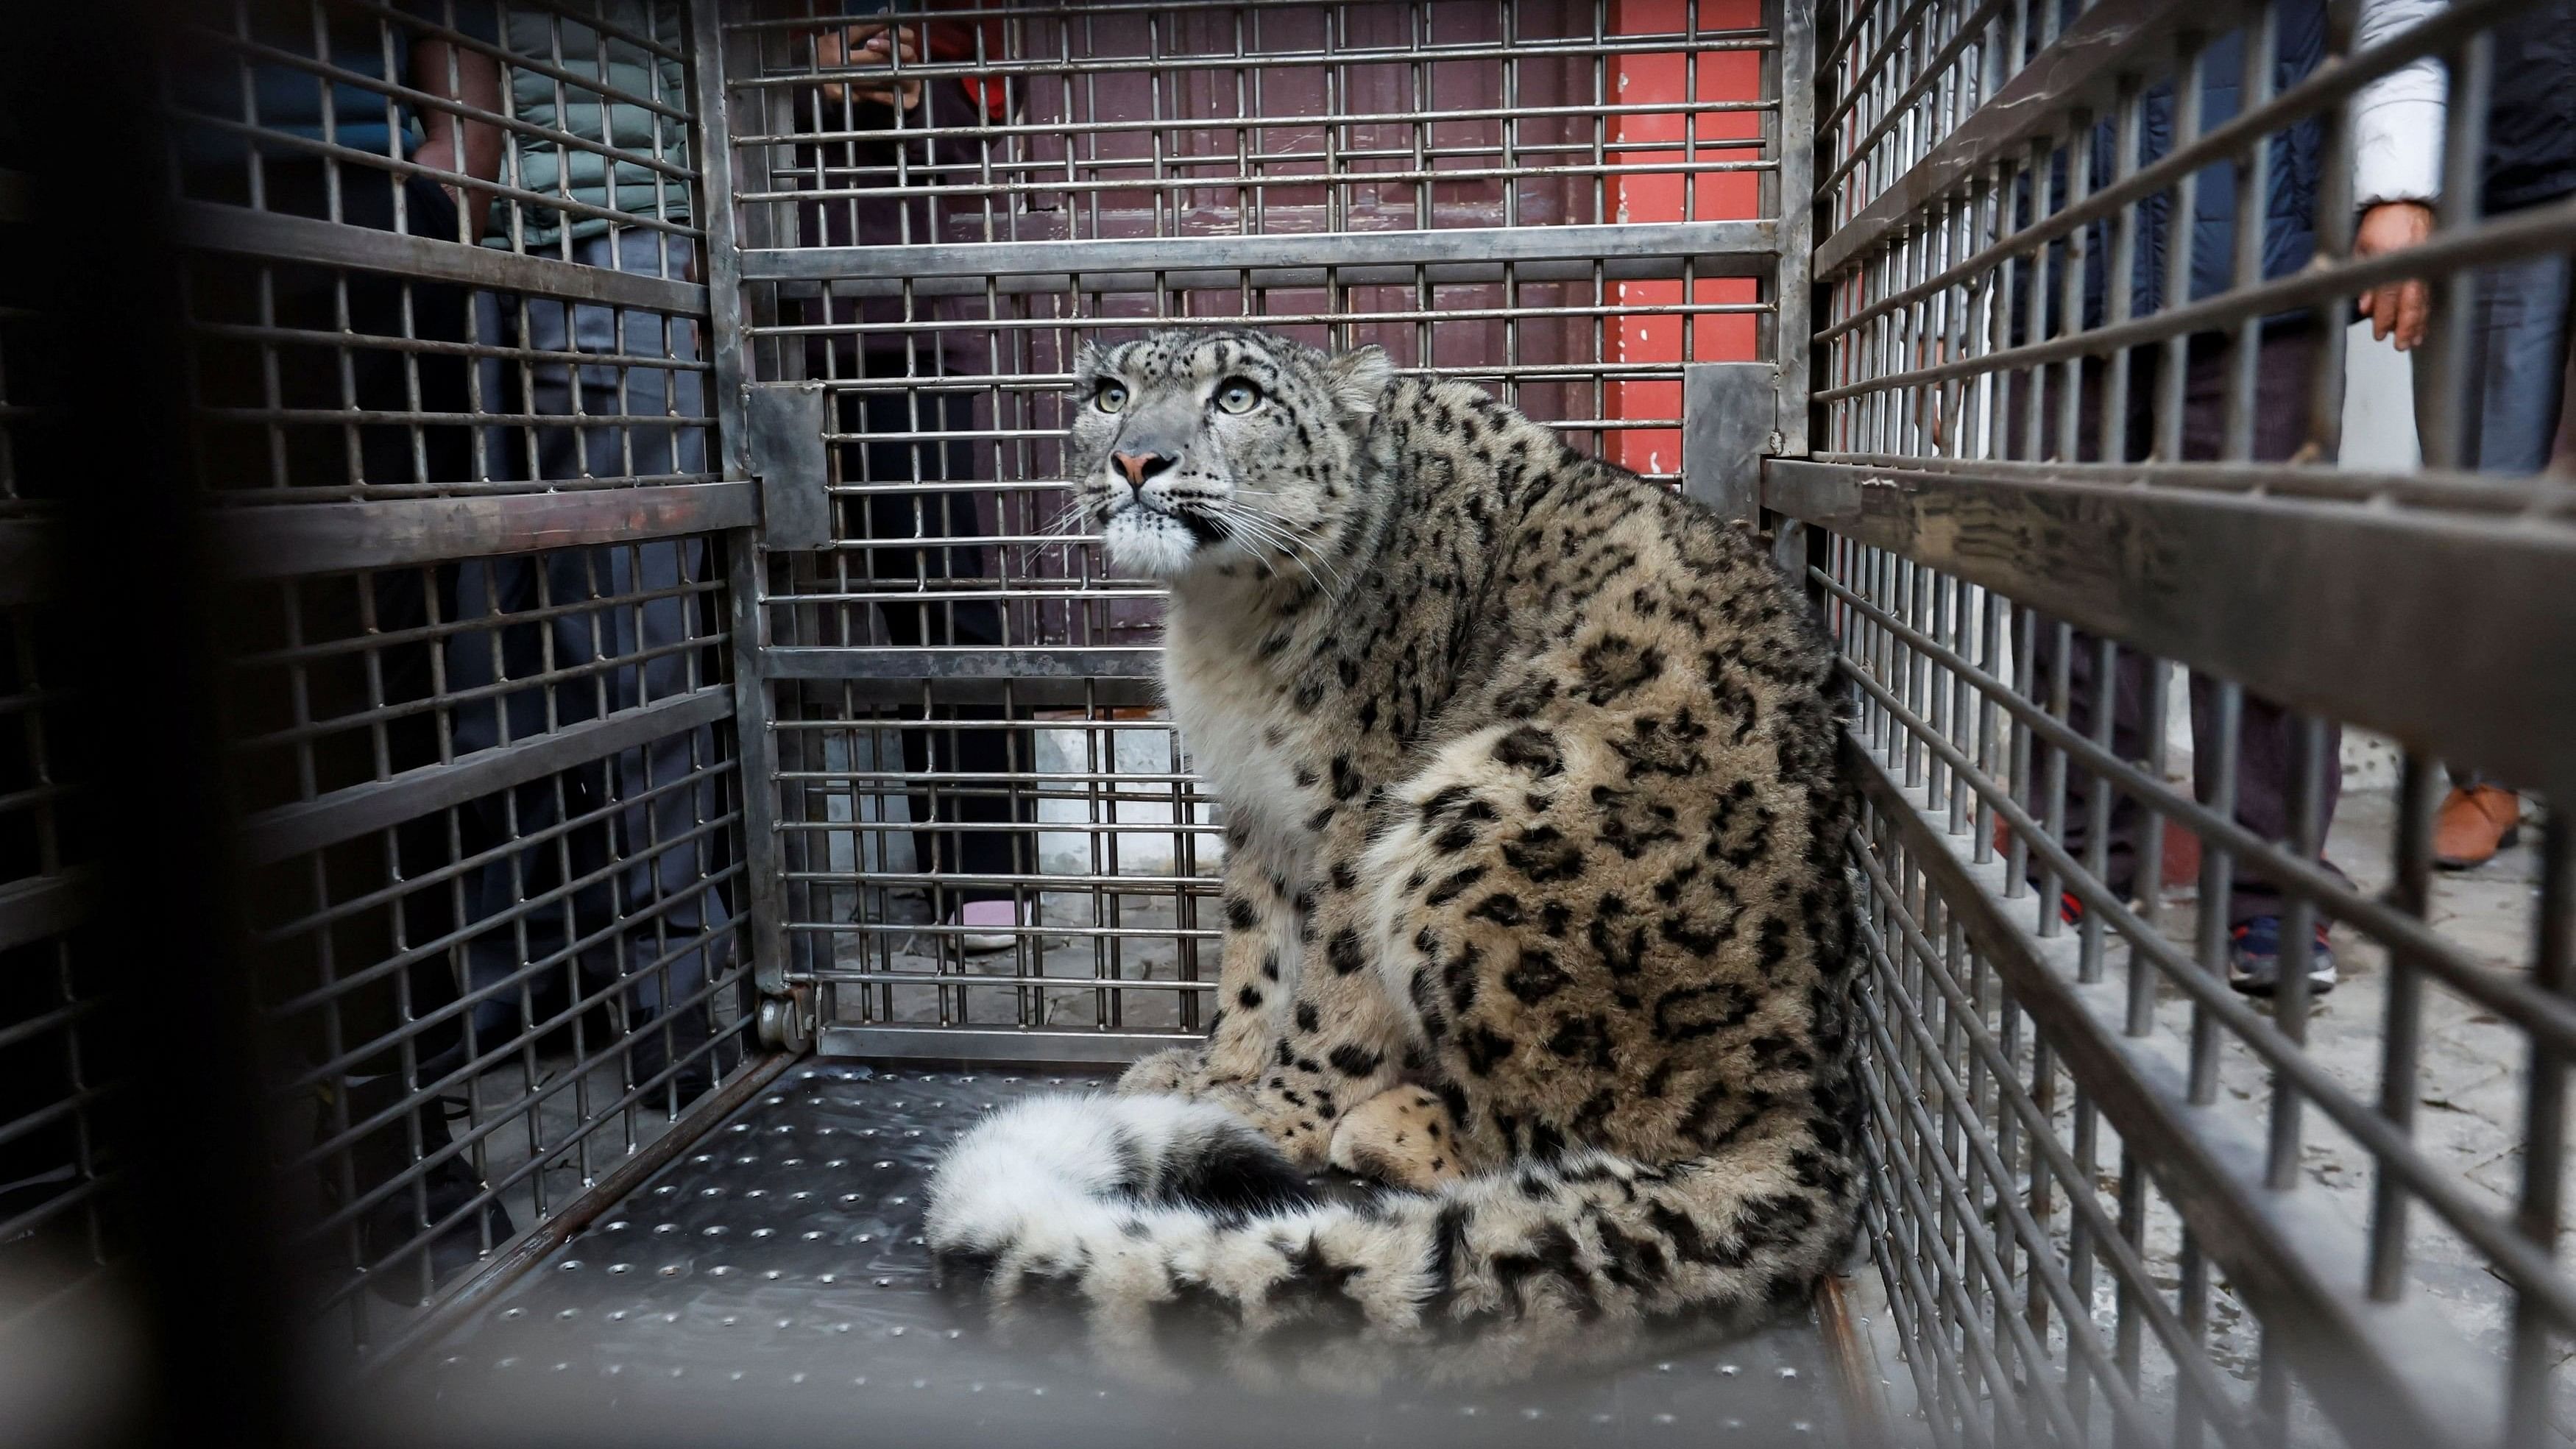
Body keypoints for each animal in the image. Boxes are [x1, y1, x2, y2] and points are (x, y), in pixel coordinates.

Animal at [938, 329, 1865, 1379]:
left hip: (1481, 811)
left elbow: (1331, 979)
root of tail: (1810, 1102)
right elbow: (1253, 957)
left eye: (1237, 395)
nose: (1137, 459)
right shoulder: (1257, 810)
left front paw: (1275, 1110)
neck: (1223, 628)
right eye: (1108, 393)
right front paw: (1213, 1074)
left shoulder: (1353, 800)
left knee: (1540, 1132)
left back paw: (1381, 1122)